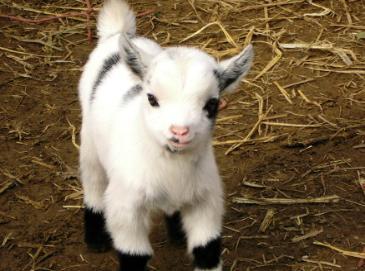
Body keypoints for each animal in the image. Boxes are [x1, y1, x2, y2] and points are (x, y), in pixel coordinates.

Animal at [78, 1, 252, 270]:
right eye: (152, 99)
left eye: (212, 104)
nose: (179, 131)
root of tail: (118, 34)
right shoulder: (126, 207)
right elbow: (133, 255)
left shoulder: (205, 199)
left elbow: (207, 250)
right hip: (89, 143)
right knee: (93, 182)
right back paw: (95, 239)